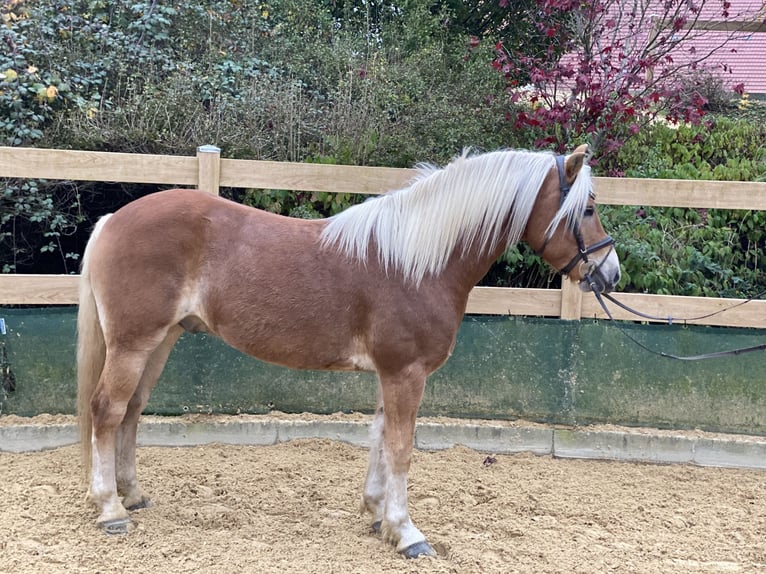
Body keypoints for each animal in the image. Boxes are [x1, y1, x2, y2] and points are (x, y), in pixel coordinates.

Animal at [75, 144, 620, 560]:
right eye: (588, 209)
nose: (610, 273)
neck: (417, 260)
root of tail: (112, 220)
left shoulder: (392, 373)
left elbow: (380, 437)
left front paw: (378, 514)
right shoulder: (406, 372)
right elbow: (401, 447)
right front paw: (407, 532)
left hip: (159, 341)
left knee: (131, 412)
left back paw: (132, 495)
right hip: (133, 343)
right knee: (107, 411)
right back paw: (110, 509)